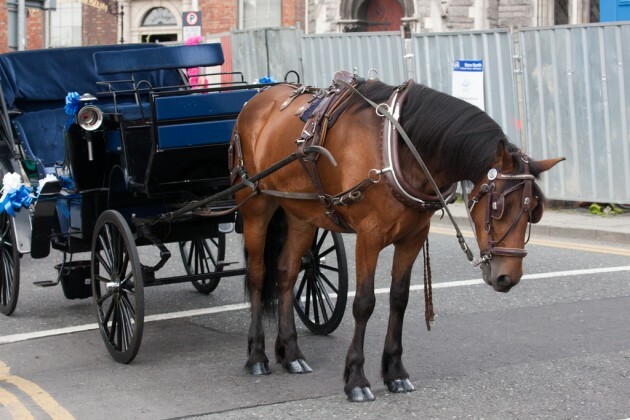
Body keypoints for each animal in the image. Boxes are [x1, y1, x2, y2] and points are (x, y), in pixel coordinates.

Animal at [230, 75, 564, 400]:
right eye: (498, 206)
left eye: (534, 211)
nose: (508, 277)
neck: (397, 149)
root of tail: (258, 98)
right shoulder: (369, 236)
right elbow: (364, 303)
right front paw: (356, 378)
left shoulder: (413, 236)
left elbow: (399, 299)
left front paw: (395, 372)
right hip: (255, 206)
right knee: (258, 276)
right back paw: (257, 355)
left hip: (302, 214)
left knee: (286, 273)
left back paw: (291, 354)